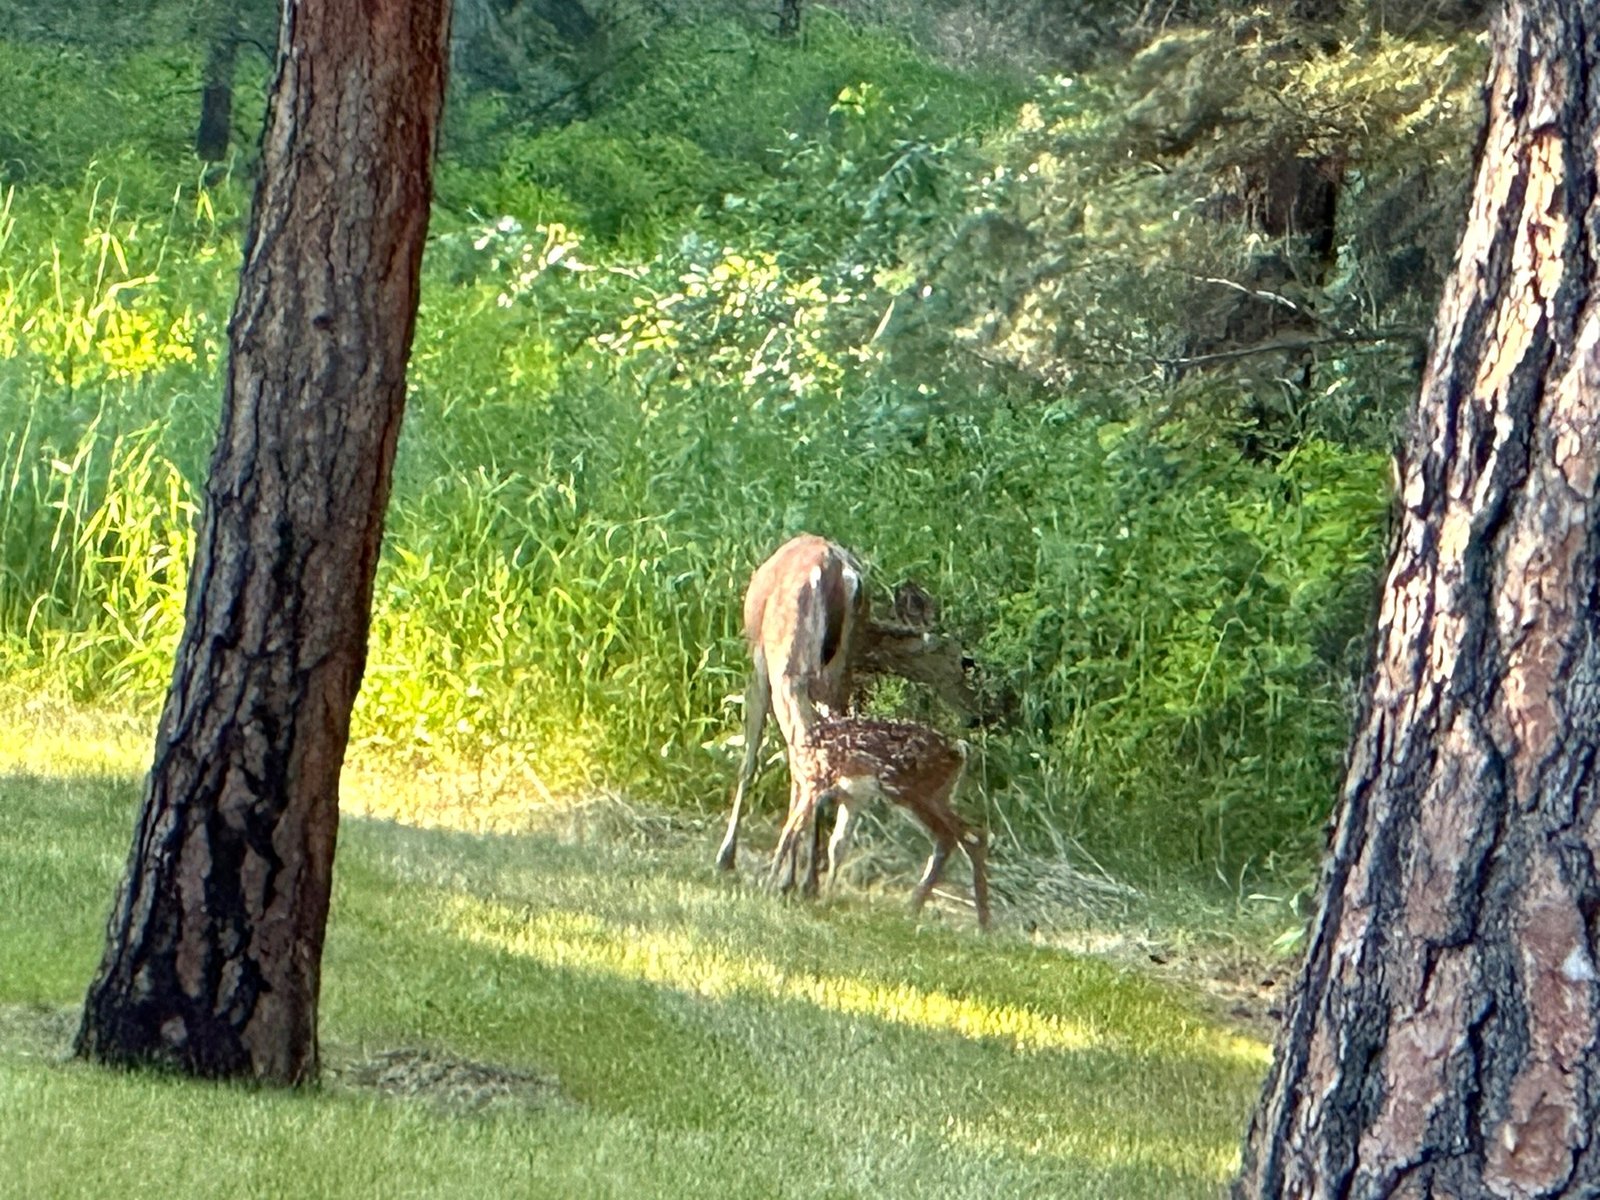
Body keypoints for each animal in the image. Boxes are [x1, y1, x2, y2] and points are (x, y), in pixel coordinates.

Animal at [775, 716, 990, 930]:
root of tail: (957, 750)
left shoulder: (815, 783)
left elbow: (790, 830)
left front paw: (771, 888)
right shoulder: (848, 798)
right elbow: (836, 844)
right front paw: (823, 899)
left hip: (909, 791)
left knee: (963, 835)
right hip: (934, 795)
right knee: (960, 836)